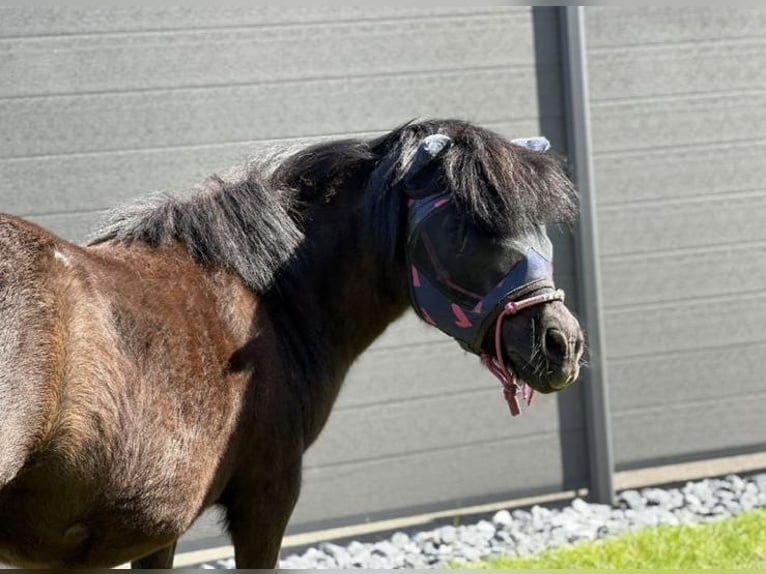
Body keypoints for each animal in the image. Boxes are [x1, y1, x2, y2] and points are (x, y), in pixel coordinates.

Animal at [0, 119, 584, 568]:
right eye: (464, 228)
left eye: (541, 229)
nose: (563, 344)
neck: (269, 304)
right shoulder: (268, 497)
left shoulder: (155, 531)